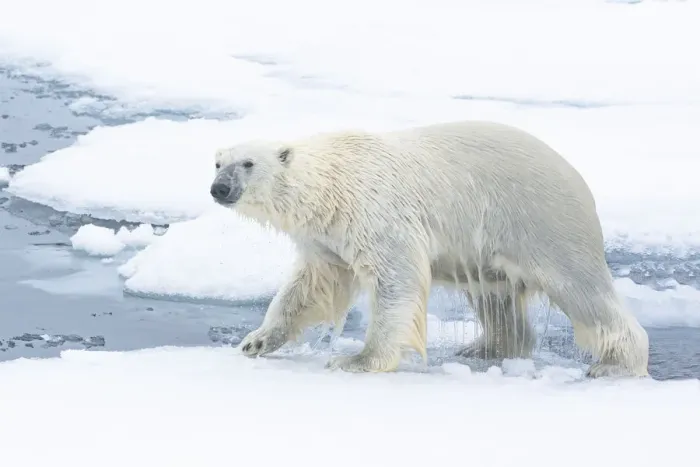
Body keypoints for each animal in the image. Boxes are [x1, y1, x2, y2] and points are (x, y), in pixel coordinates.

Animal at [209, 120, 650, 378]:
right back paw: (484, 347)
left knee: (580, 288)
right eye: (217, 163)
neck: (332, 184)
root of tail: (575, 175)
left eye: (248, 163)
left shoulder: (376, 210)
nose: (220, 189)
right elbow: (311, 285)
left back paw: (614, 364)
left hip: (543, 221)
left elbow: (396, 277)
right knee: (495, 297)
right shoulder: (327, 236)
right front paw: (256, 341)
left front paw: (356, 360)